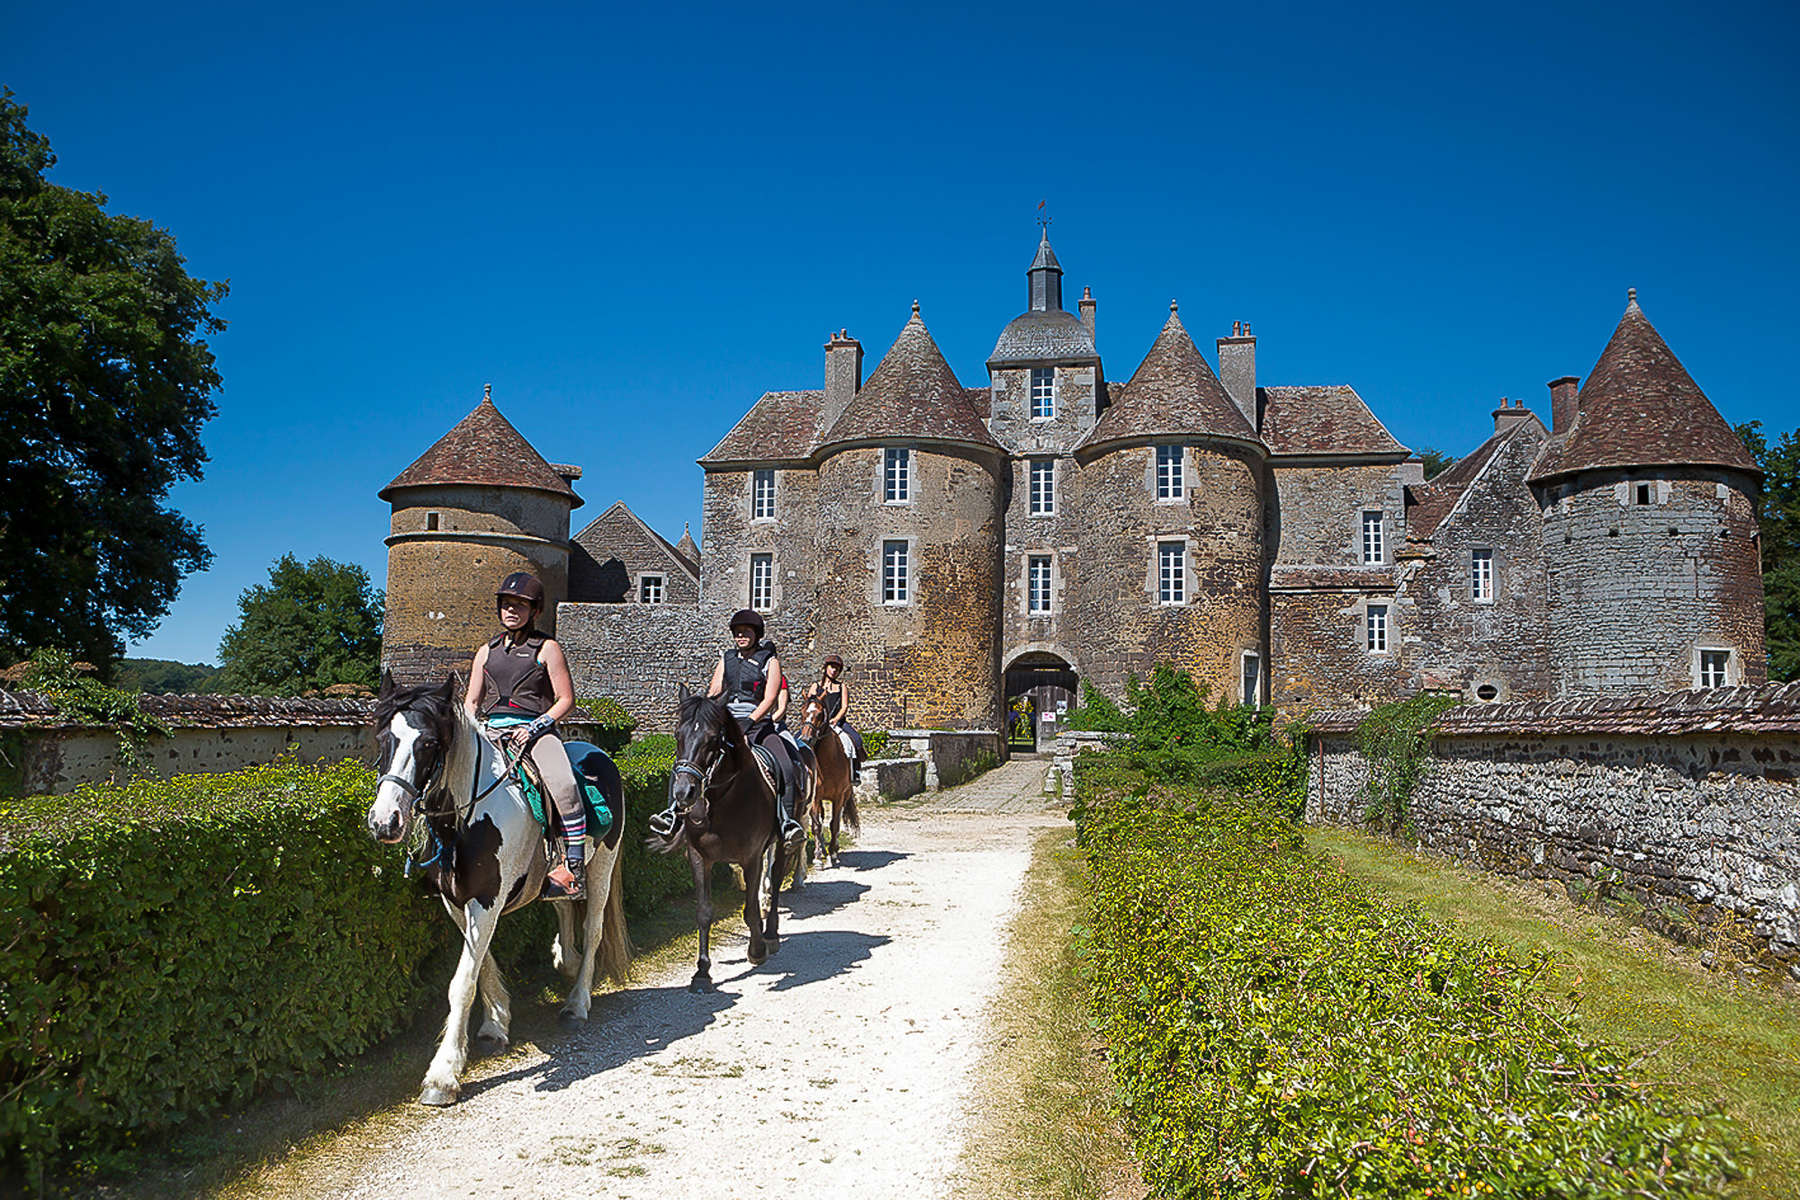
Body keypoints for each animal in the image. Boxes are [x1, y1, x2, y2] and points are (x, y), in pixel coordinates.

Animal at [365, 676, 633, 1108]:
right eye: (383, 738)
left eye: (428, 743)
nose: (385, 822)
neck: (466, 819)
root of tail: (598, 754)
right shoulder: (457, 902)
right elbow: (483, 962)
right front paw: (497, 1022)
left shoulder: (486, 901)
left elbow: (462, 983)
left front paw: (443, 1075)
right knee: (563, 907)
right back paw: (566, 960)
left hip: (602, 868)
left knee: (592, 929)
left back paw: (577, 1002)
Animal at [648, 683, 788, 993]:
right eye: (678, 735)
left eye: (712, 739)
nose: (684, 793)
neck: (723, 799)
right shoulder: (699, 857)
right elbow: (703, 912)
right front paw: (702, 972)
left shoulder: (751, 857)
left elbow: (751, 909)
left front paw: (756, 950)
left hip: (783, 843)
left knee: (775, 883)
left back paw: (771, 934)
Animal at [799, 690, 860, 867]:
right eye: (802, 712)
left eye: (820, 714)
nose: (806, 739)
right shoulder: (815, 798)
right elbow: (817, 826)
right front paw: (818, 856)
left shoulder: (838, 797)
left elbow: (834, 825)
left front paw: (833, 853)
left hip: (845, 795)